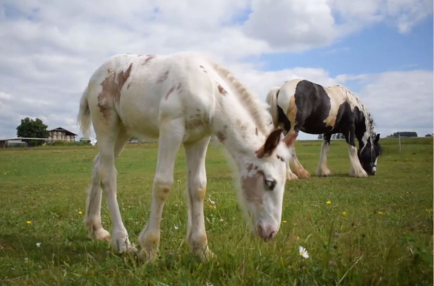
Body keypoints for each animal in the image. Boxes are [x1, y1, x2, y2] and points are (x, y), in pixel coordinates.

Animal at [77, 52, 294, 262]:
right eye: (269, 183)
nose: (270, 232)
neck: (207, 89)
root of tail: (94, 77)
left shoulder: (198, 139)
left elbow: (198, 187)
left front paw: (201, 249)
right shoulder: (171, 130)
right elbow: (163, 184)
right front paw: (149, 248)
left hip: (123, 130)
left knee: (97, 166)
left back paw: (96, 229)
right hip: (106, 125)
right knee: (108, 175)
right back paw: (122, 241)